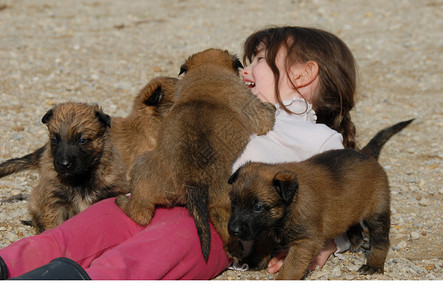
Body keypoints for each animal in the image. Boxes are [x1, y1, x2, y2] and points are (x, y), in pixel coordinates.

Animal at [118, 48, 278, 262]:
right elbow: (267, 114)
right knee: (140, 214)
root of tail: (193, 178)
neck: (207, 70)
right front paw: (273, 106)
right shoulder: (255, 109)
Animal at [227, 119, 414, 278]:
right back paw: (355, 238)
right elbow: (262, 244)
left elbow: (290, 268)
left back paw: (374, 264)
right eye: (234, 202)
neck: (292, 203)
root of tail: (366, 154)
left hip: (378, 211)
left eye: (257, 207)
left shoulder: (305, 242)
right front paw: (255, 260)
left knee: (381, 239)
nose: (233, 231)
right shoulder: (266, 227)